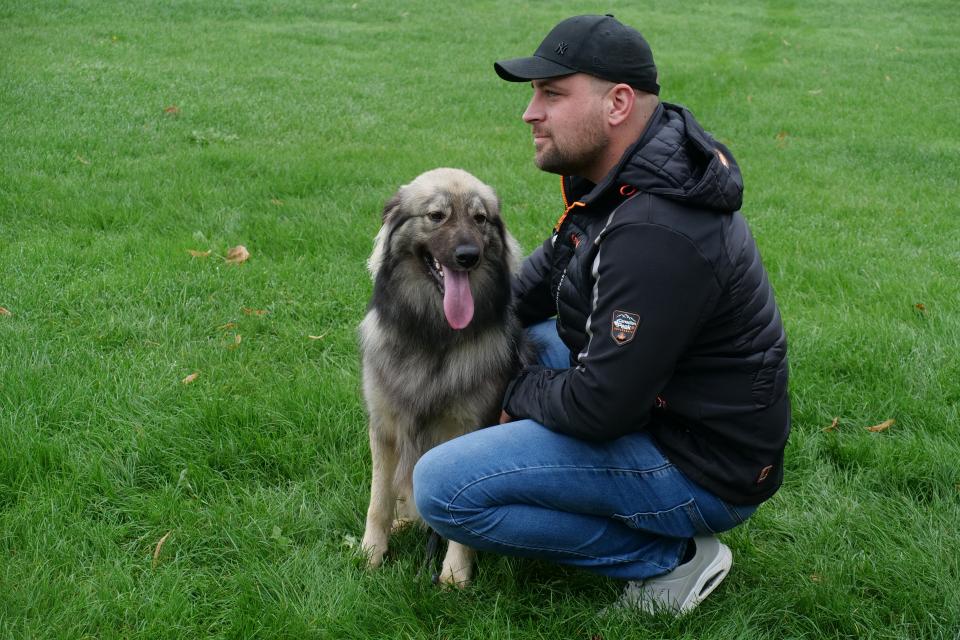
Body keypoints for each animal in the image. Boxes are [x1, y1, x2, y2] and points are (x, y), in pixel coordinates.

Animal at [359, 168, 525, 586]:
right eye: (436, 216)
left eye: (480, 219)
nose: (468, 257)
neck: (434, 335)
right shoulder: (384, 427)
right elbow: (378, 500)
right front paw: (371, 555)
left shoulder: (467, 429)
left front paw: (454, 574)